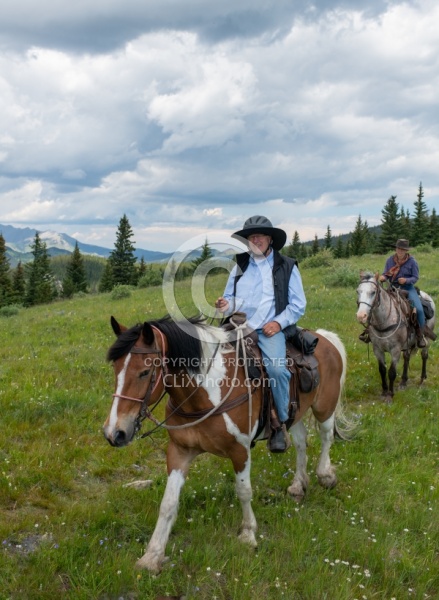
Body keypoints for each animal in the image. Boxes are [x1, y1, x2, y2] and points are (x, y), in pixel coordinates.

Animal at [103, 314, 350, 572]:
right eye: (115, 369)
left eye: (144, 372)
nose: (114, 432)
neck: (206, 393)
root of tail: (325, 337)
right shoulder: (180, 451)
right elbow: (168, 502)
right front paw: (152, 555)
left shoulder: (240, 450)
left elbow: (243, 491)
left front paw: (248, 533)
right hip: (295, 413)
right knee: (301, 443)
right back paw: (298, 485)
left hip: (324, 407)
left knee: (326, 437)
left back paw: (325, 475)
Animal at [358, 272, 436, 404]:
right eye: (358, 291)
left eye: (373, 292)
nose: (361, 316)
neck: (384, 320)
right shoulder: (377, 349)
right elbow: (382, 370)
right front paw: (384, 392)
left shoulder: (395, 350)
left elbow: (391, 372)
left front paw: (390, 395)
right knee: (407, 357)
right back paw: (403, 382)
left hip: (427, 340)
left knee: (424, 356)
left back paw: (422, 380)